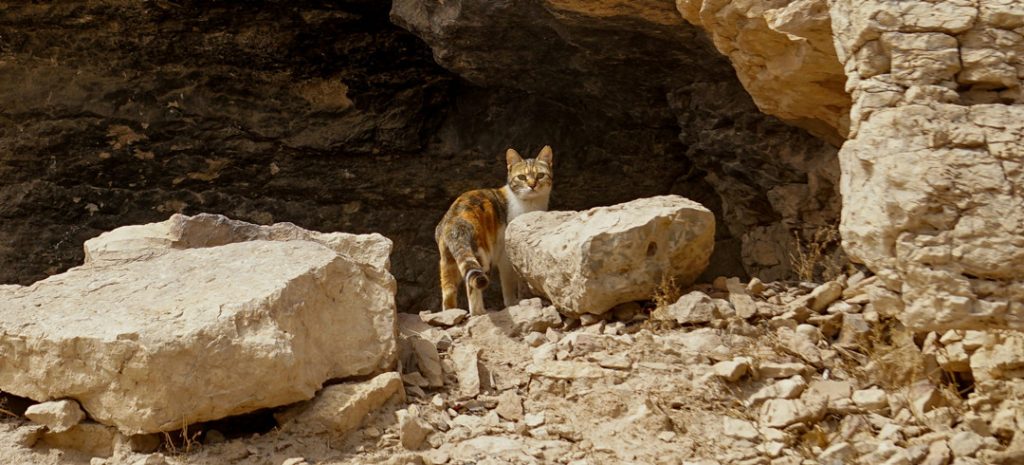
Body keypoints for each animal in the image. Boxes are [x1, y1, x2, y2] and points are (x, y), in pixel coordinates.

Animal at [436, 147, 557, 313]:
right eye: (522, 177)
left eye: (540, 175)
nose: (532, 185)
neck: (530, 204)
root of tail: (455, 220)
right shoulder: (505, 256)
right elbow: (509, 283)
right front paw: (514, 302)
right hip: (481, 257)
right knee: (473, 289)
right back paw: (479, 313)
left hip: (447, 263)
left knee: (448, 294)